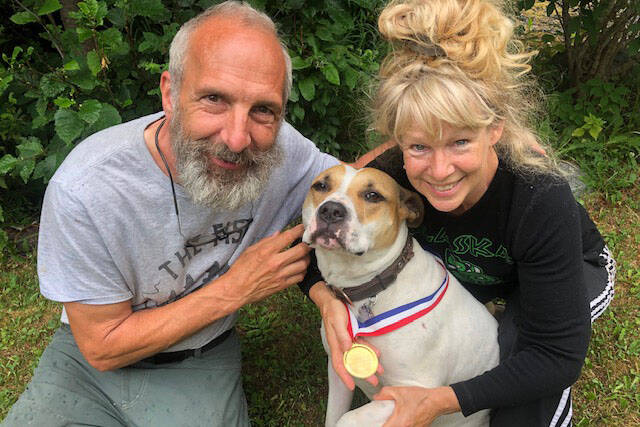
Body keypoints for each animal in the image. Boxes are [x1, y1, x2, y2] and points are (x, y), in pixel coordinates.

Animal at [302, 166, 502, 427]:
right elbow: (334, 416)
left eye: (373, 195)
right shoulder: (338, 371)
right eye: (321, 186)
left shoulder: (415, 393)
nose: (331, 210)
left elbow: (348, 419)